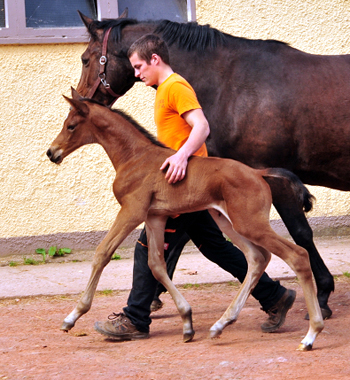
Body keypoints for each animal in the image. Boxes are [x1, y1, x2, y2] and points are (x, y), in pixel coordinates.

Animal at [47, 91, 324, 350]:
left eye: (71, 125)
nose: (51, 152)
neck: (134, 157)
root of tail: (258, 173)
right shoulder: (155, 217)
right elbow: (155, 264)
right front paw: (187, 322)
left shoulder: (132, 211)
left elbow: (103, 253)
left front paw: (72, 317)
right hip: (228, 221)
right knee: (257, 258)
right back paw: (222, 324)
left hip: (250, 224)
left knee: (298, 255)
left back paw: (311, 334)